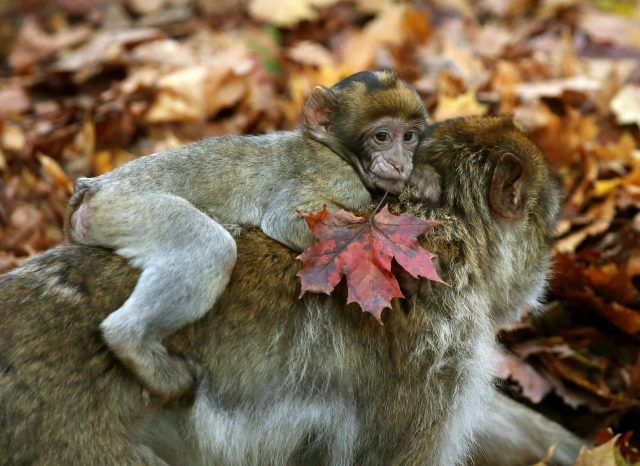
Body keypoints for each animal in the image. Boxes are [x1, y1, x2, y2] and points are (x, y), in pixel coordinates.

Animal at [66, 71, 436, 398]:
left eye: (409, 137)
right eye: (382, 136)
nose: (400, 162)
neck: (334, 150)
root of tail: (96, 187)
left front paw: (422, 178)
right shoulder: (334, 176)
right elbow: (286, 220)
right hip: (125, 207)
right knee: (209, 248)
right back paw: (133, 344)